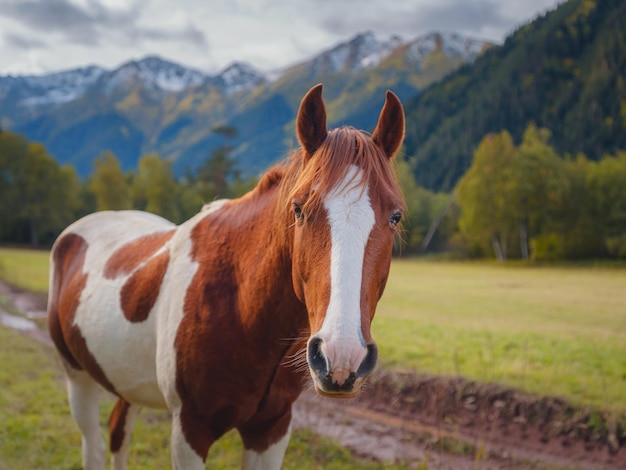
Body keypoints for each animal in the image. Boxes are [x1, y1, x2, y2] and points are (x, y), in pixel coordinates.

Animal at [48, 85, 408, 470]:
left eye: (395, 216)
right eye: (298, 209)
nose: (342, 357)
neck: (241, 306)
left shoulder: (271, 429)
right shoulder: (189, 430)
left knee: (118, 433)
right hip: (78, 378)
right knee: (94, 444)